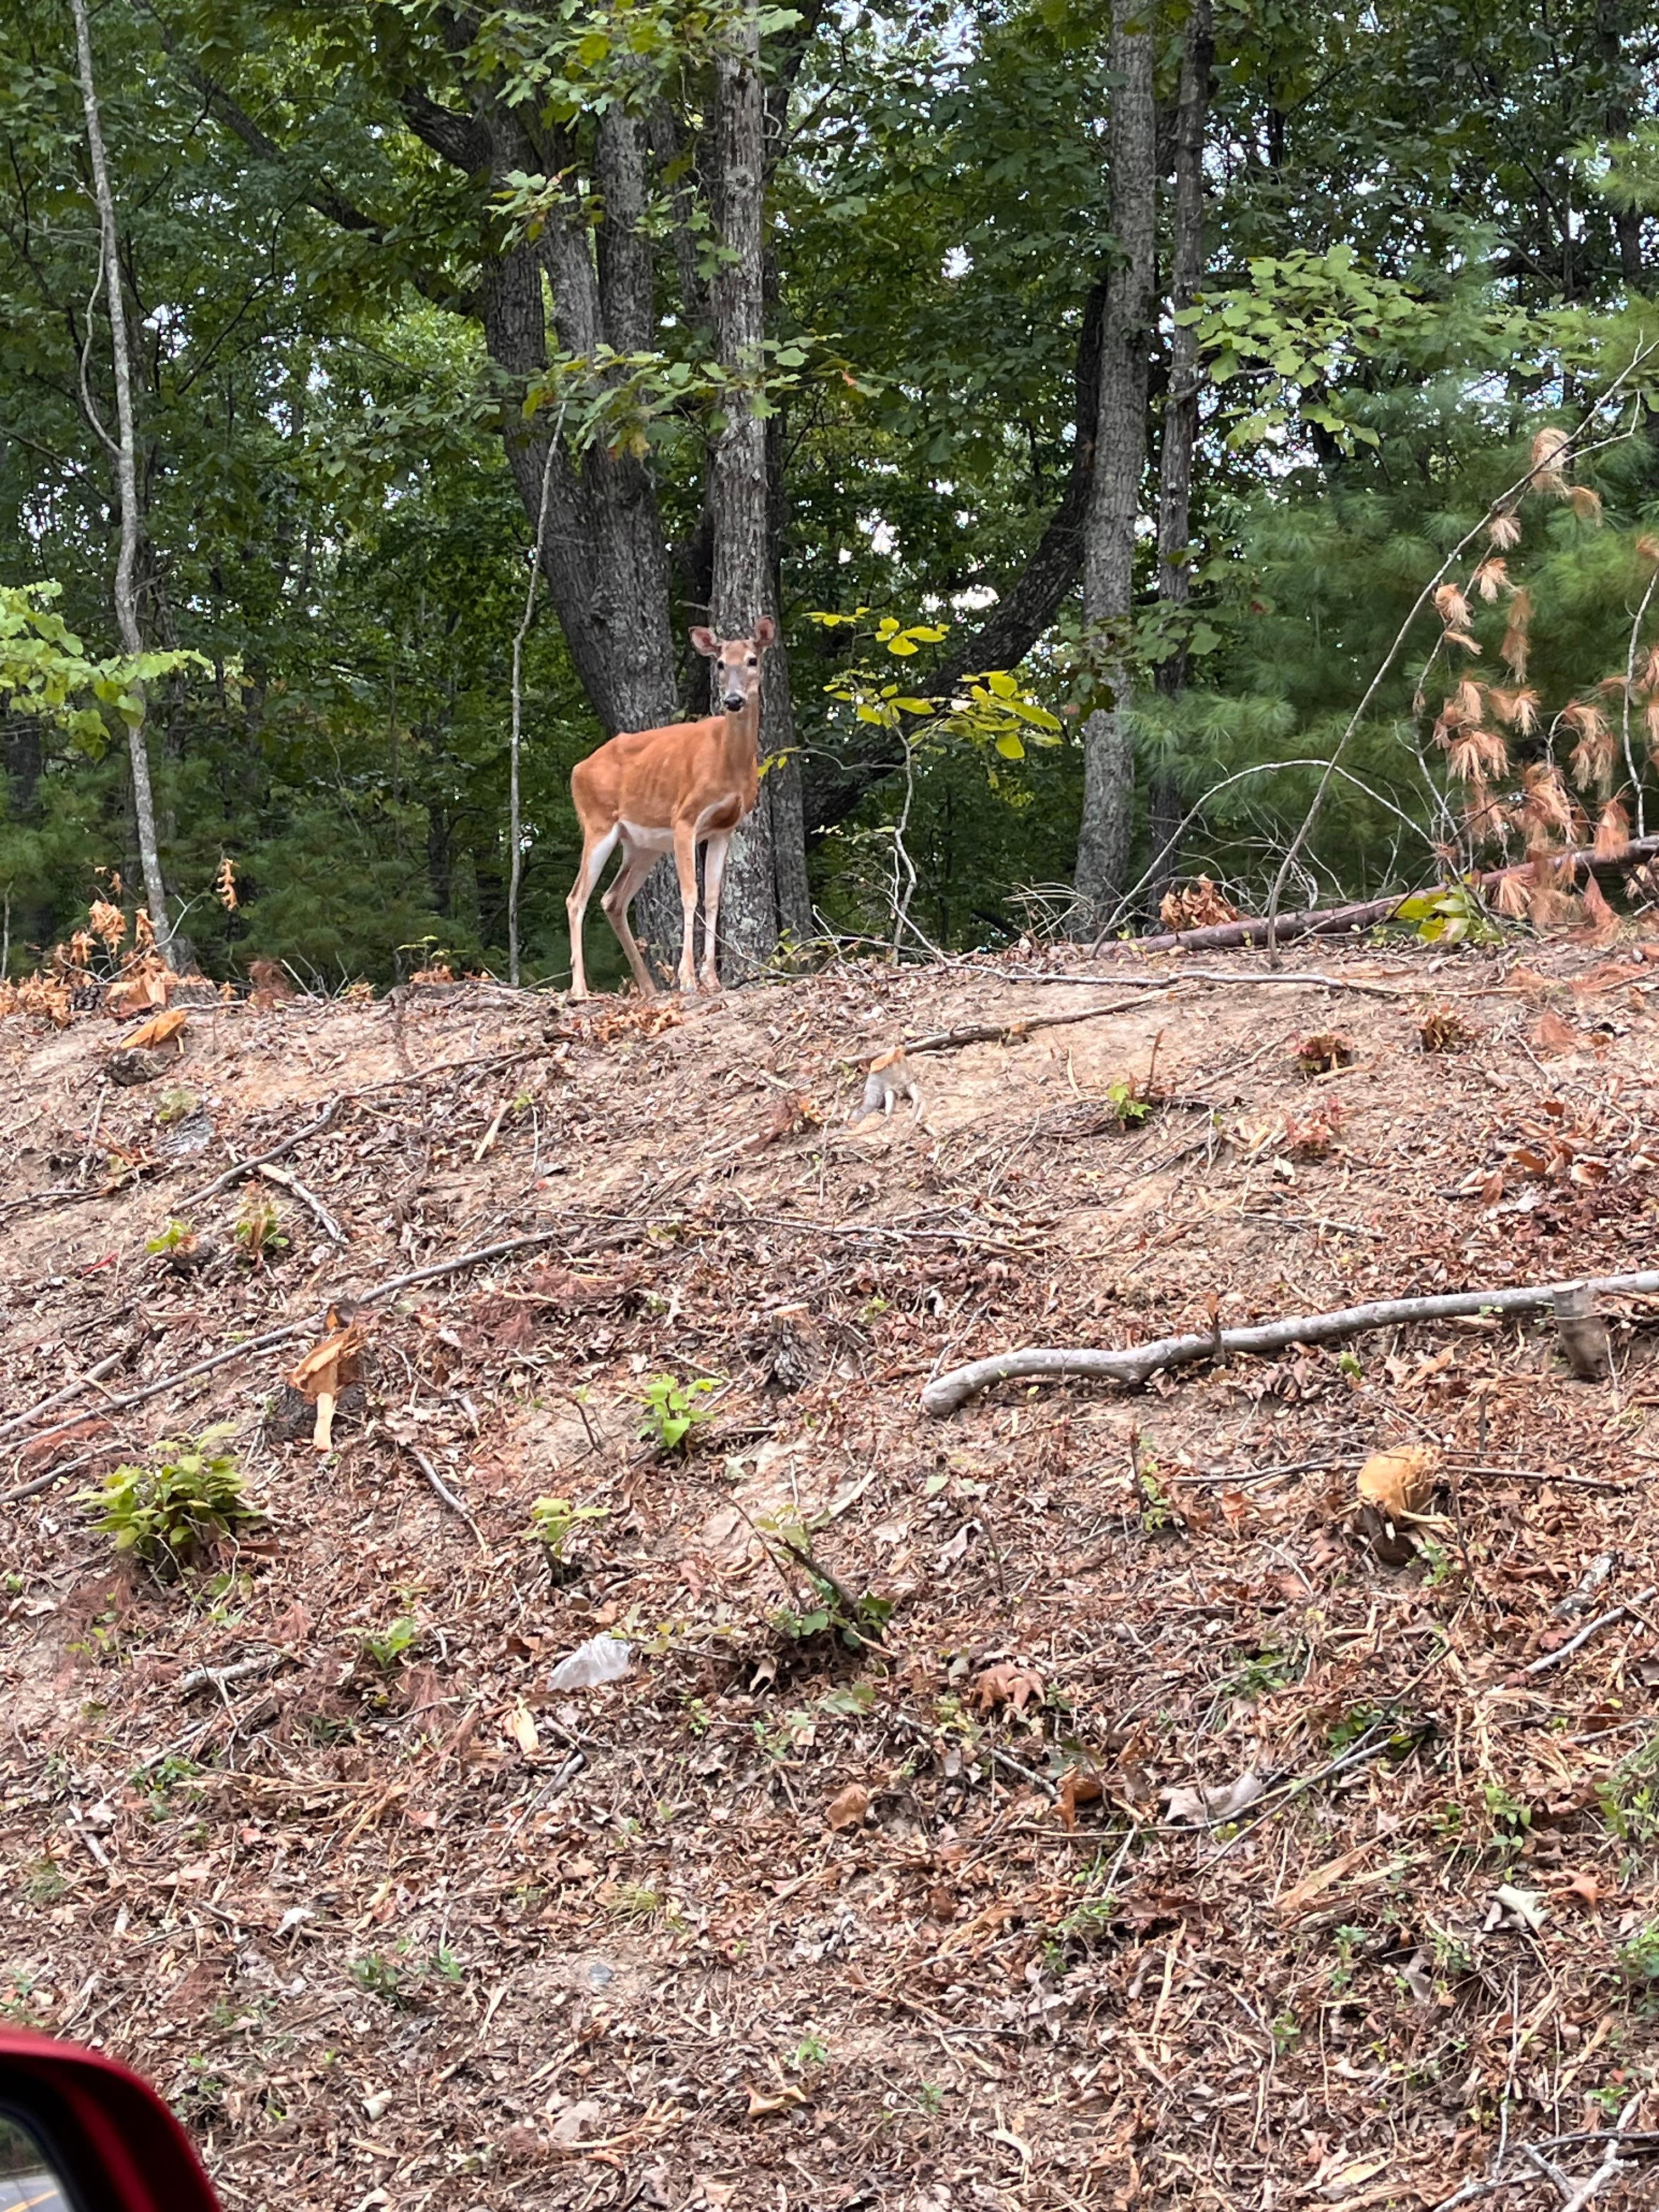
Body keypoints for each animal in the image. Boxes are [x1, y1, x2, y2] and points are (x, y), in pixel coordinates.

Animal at [566, 618, 777, 999]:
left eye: (753, 660)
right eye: (719, 664)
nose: (733, 700)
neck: (728, 765)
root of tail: (577, 770)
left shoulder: (725, 828)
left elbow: (713, 898)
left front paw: (712, 978)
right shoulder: (685, 819)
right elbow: (690, 895)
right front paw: (688, 978)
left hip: (642, 846)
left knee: (612, 899)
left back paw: (649, 988)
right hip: (598, 823)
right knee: (577, 899)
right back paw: (579, 989)